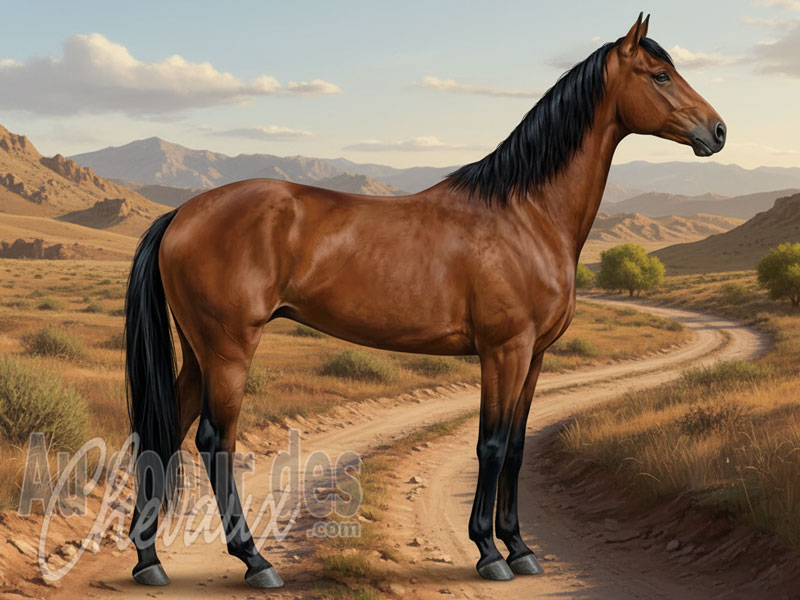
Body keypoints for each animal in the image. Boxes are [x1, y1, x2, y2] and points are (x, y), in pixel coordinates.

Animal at [124, 13, 725, 588]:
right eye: (660, 75)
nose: (718, 131)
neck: (526, 214)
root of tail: (182, 214)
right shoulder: (503, 352)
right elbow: (492, 444)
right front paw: (489, 551)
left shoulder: (535, 356)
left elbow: (518, 446)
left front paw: (521, 547)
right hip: (228, 350)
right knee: (214, 440)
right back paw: (255, 561)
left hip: (200, 353)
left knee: (166, 433)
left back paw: (149, 560)